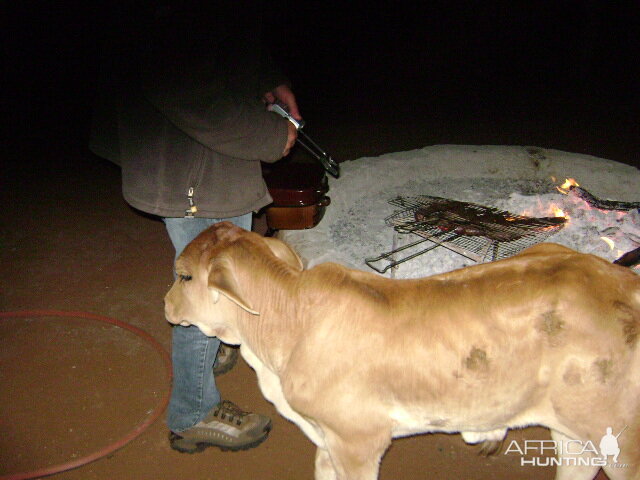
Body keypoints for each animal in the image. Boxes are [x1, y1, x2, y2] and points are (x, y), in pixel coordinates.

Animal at [165, 222, 640, 480]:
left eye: (184, 276)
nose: (165, 304)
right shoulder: (328, 440)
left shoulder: (360, 441)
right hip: (576, 439)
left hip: (622, 444)